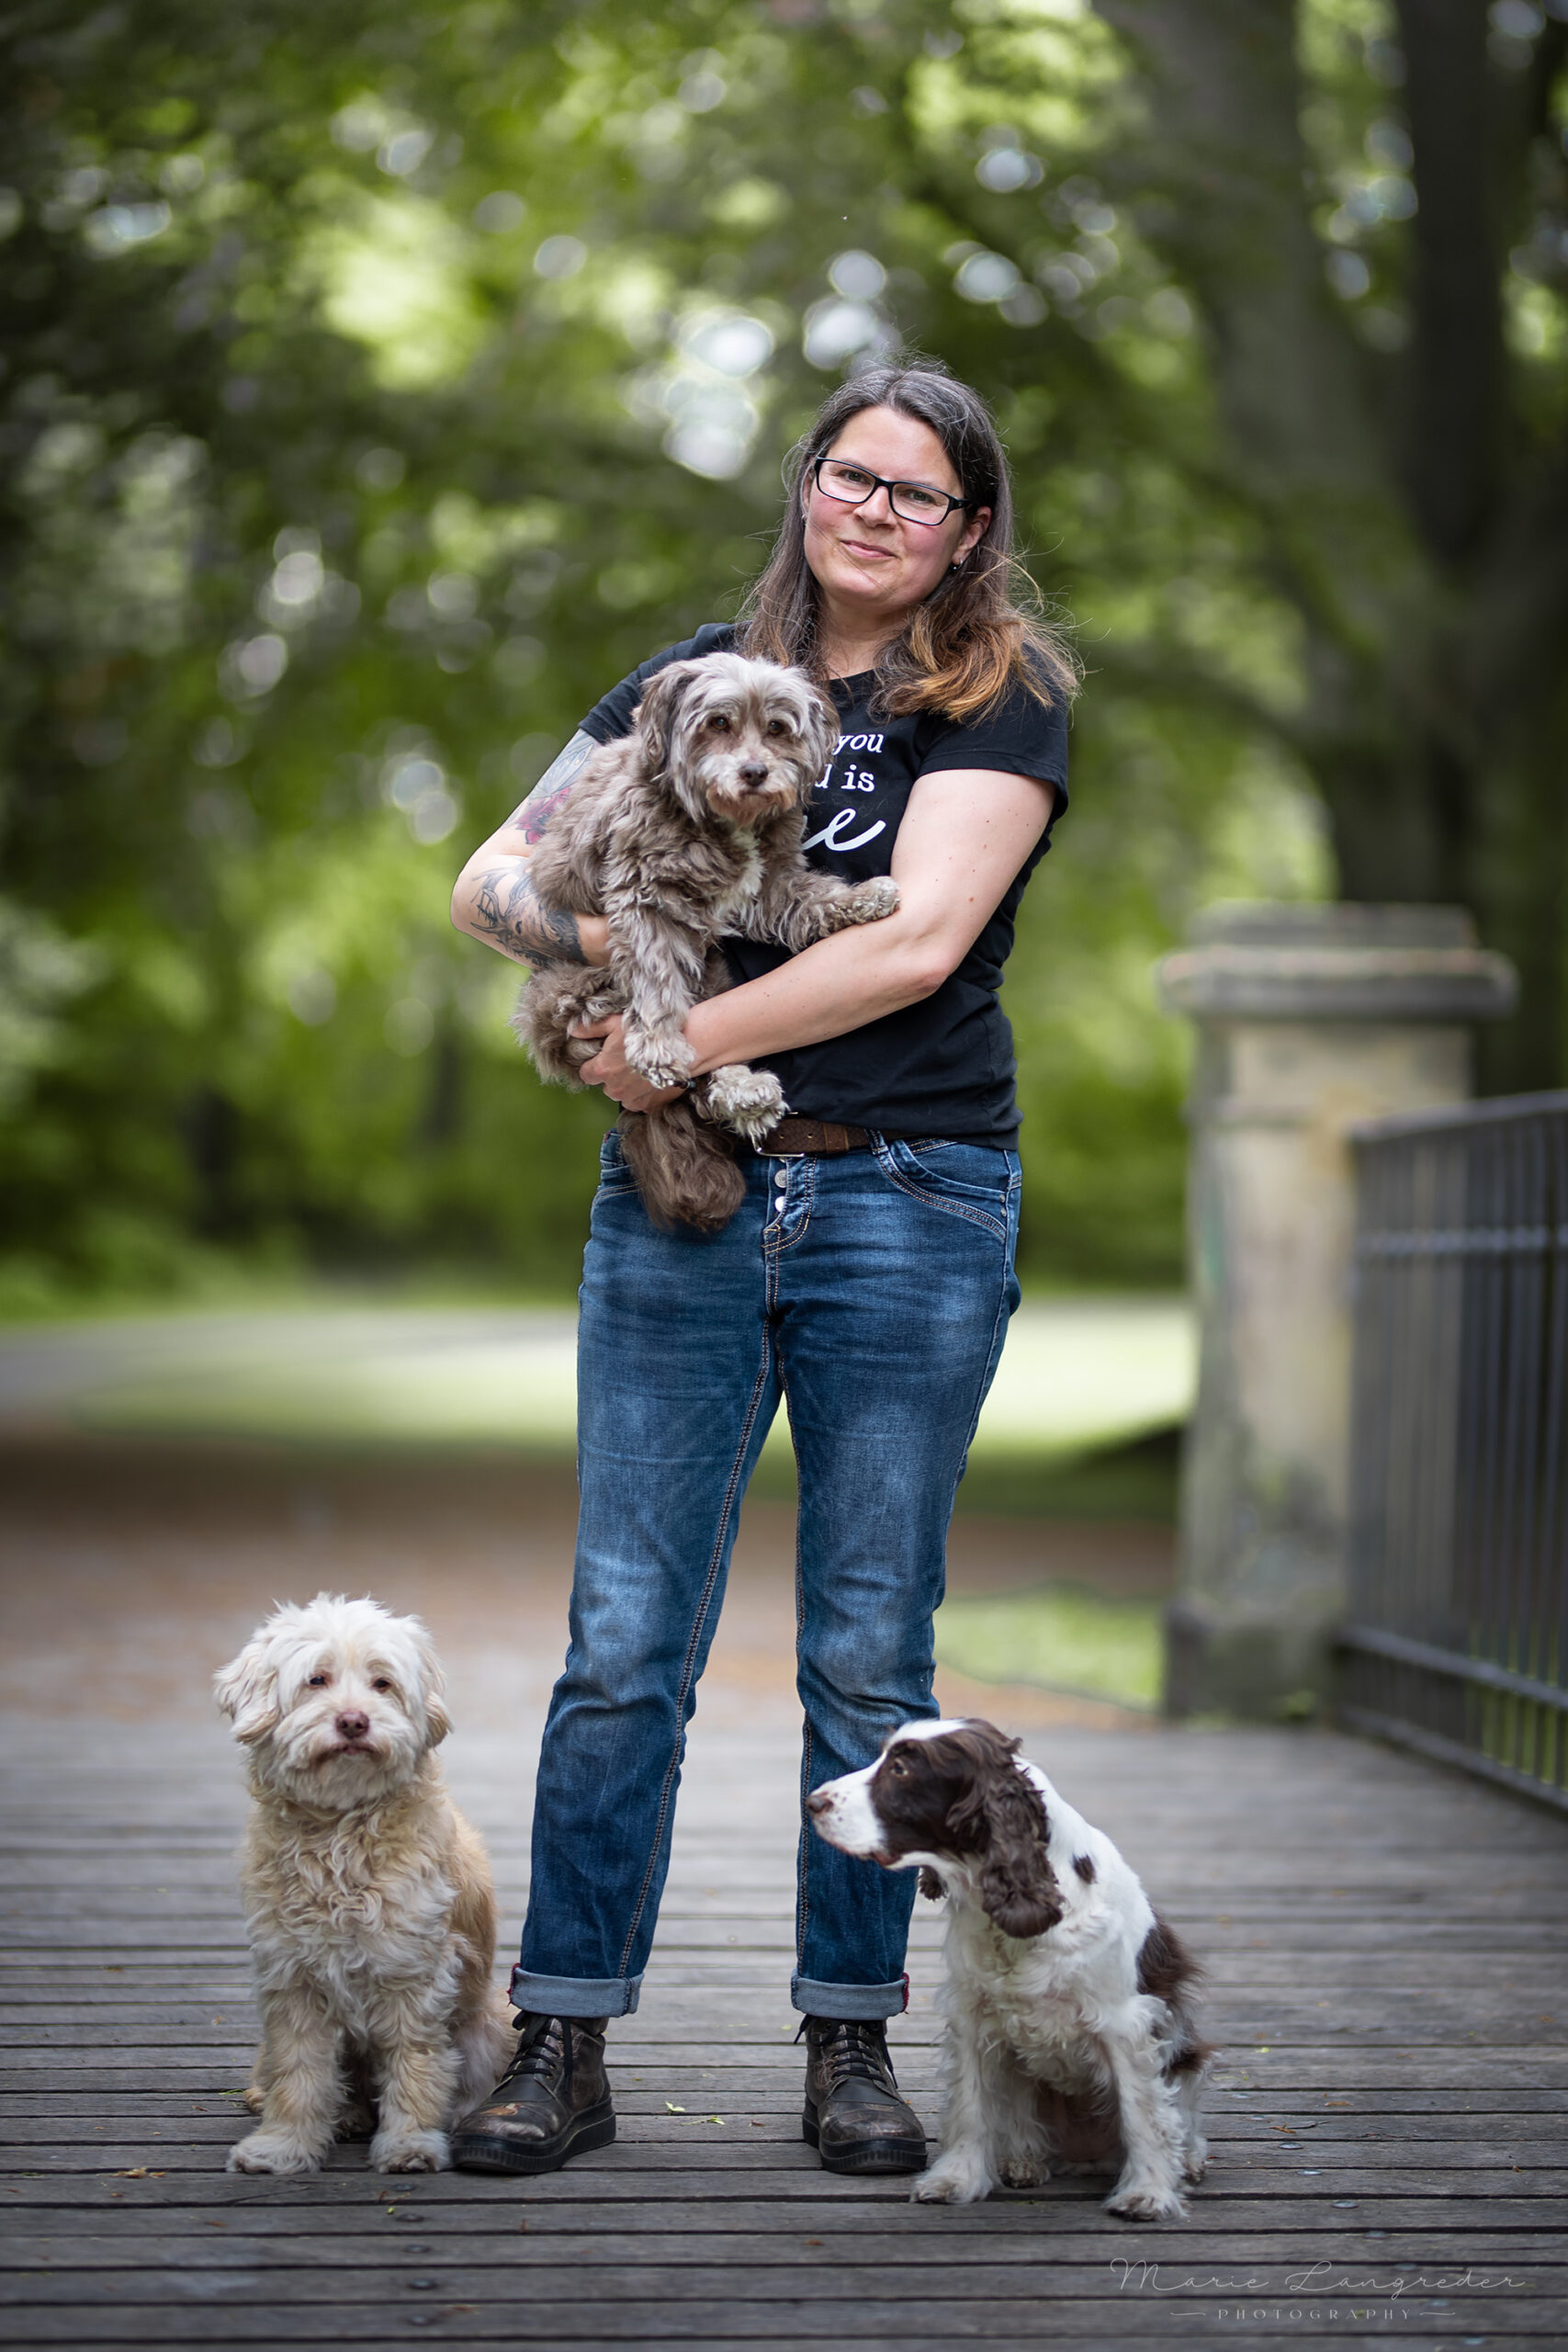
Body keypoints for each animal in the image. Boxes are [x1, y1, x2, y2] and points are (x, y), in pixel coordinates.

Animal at [212, 1589, 510, 2173]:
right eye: (316, 1680)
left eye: (382, 1684)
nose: (354, 1722)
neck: (340, 1832)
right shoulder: (292, 1977)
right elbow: (297, 2072)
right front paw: (283, 2145)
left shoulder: (414, 1973)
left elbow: (415, 2064)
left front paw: (411, 2144)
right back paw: (342, 2115)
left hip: (489, 2026)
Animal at [517, 649, 893, 1232]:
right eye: (718, 723)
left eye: (776, 728)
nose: (755, 772)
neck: (724, 817)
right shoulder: (646, 896)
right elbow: (655, 976)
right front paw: (657, 1045)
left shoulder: (770, 884)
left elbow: (814, 897)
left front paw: (865, 897)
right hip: (582, 988)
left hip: (714, 974)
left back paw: (745, 1092)